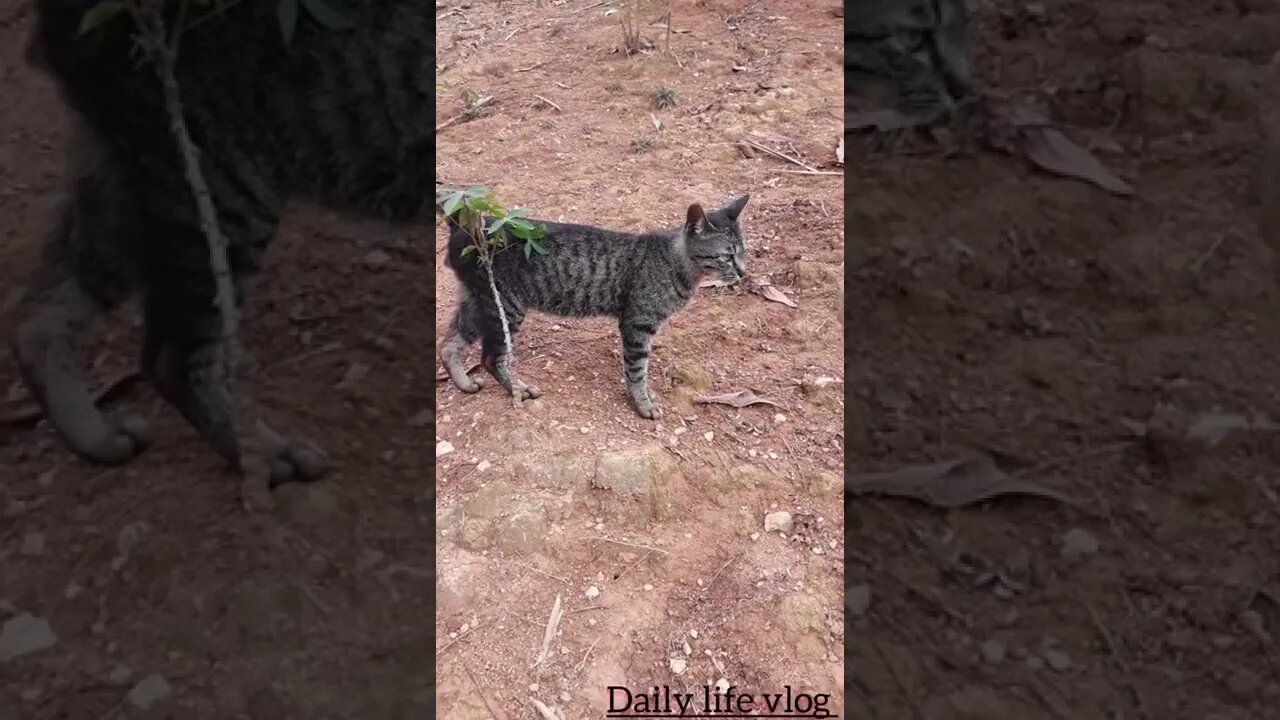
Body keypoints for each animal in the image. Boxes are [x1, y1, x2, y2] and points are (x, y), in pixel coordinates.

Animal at [8, 1, 435, 481]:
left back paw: (94, 437)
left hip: (132, 172)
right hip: (221, 185)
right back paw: (263, 453)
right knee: (171, 358)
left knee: (38, 317)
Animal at [440, 194, 747, 420]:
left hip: (477, 302)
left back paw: (465, 384)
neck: (677, 265)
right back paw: (518, 388)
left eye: (744, 253)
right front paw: (642, 404)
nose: (744, 272)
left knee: (448, 345)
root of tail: (463, 226)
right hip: (505, 306)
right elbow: (637, 370)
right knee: (491, 358)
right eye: (726, 257)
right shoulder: (638, 323)